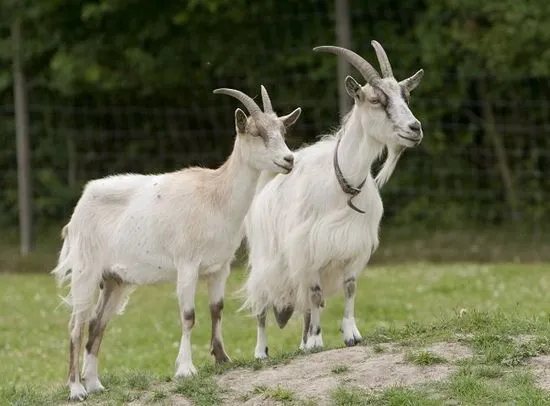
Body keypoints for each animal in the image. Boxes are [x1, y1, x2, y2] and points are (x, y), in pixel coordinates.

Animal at [51, 85, 302, 400]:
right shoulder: (187, 265)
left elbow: (216, 309)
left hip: (114, 280)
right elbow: (188, 315)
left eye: (282, 130)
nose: (289, 160)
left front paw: (222, 358)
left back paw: (95, 384)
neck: (216, 197)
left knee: (97, 323)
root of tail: (79, 209)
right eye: (256, 132)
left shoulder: (219, 268)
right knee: (76, 325)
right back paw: (76, 389)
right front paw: (186, 369)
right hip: (86, 272)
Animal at [243, 42, 426, 358]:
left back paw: (303, 343)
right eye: (375, 99)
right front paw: (317, 340)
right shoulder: (308, 247)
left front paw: (350, 334)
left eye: (407, 96)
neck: (343, 185)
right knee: (263, 305)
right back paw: (262, 352)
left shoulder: (353, 244)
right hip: (266, 258)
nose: (414, 129)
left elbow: (349, 289)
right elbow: (316, 295)